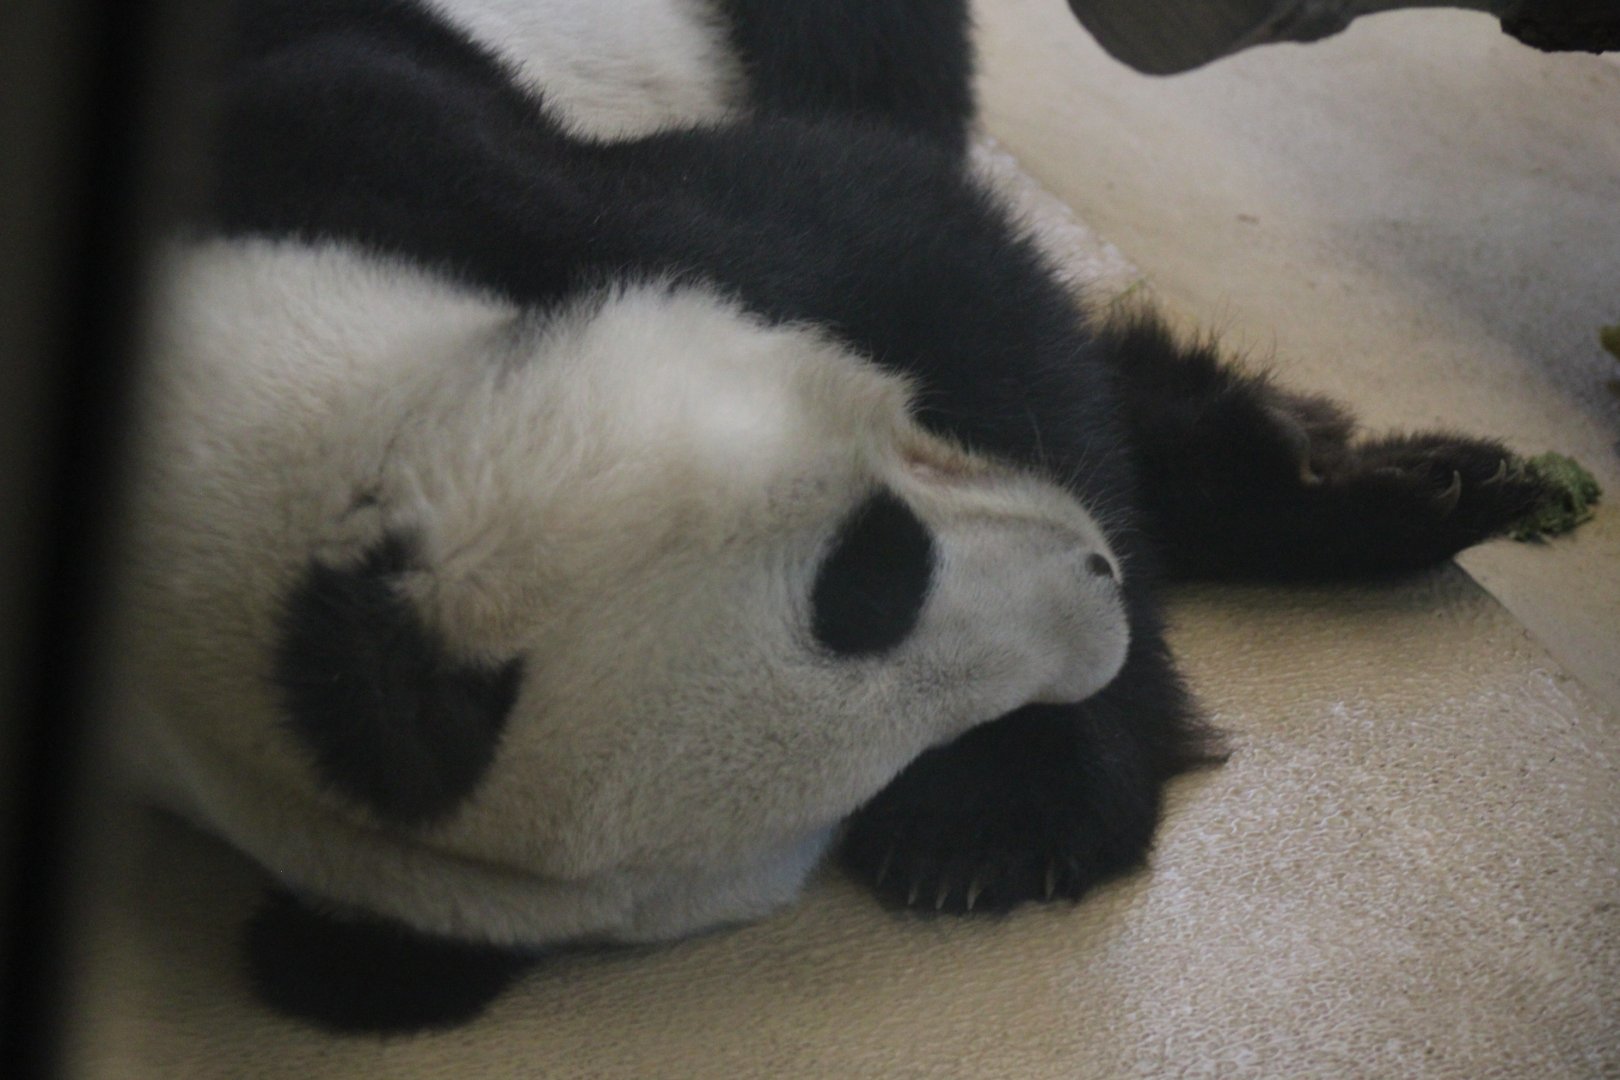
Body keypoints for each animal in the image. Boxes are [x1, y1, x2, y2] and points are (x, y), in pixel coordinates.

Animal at [118, 0, 1567, 1032]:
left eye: (876, 572)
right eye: (867, 766)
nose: (1097, 583)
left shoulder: (379, 138)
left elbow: (910, 240)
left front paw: (1016, 813)